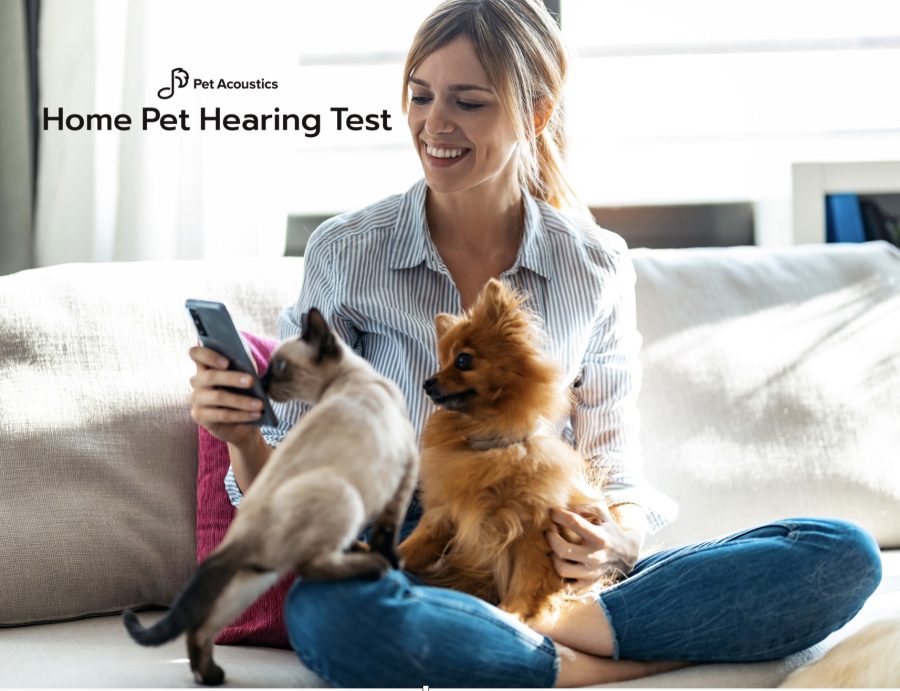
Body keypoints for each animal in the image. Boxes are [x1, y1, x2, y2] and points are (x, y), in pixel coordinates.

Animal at [125, 310, 420, 688]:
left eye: (278, 366)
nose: (261, 382)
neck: (352, 380)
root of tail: (245, 528)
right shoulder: (407, 471)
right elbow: (387, 531)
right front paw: (388, 558)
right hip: (344, 496)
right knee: (311, 567)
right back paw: (372, 566)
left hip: (253, 580)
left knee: (202, 626)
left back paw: (211, 676)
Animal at [400, 280, 616, 620]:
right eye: (441, 361)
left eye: (463, 360)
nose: (427, 382)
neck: (489, 444)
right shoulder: (445, 514)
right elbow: (416, 545)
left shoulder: (536, 528)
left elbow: (528, 577)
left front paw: (512, 612)